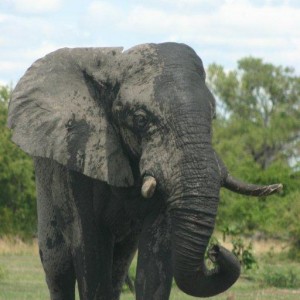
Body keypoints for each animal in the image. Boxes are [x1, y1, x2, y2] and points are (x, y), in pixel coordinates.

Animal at [7, 42, 284, 300]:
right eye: (140, 120)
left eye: (213, 116)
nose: (216, 250)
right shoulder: (79, 157)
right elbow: (90, 253)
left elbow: (153, 268)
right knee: (58, 265)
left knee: (118, 268)